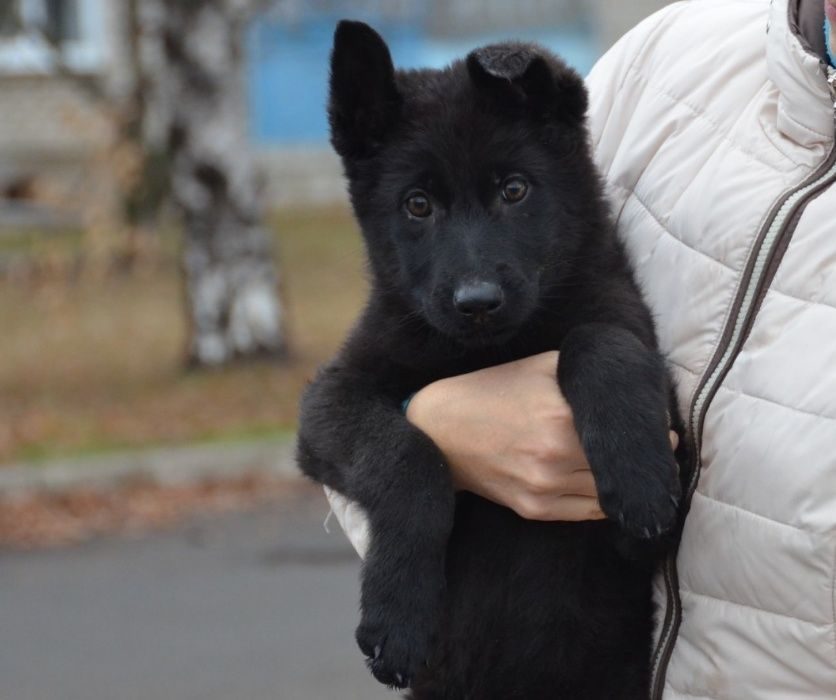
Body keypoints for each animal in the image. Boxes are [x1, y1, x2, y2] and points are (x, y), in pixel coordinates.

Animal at [298, 20, 684, 700]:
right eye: (417, 205)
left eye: (514, 190)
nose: (477, 302)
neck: (493, 350)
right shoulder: (330, 400)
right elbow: (409, 455)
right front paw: (397, 613)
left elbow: (600, 340)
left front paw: (637, 475)